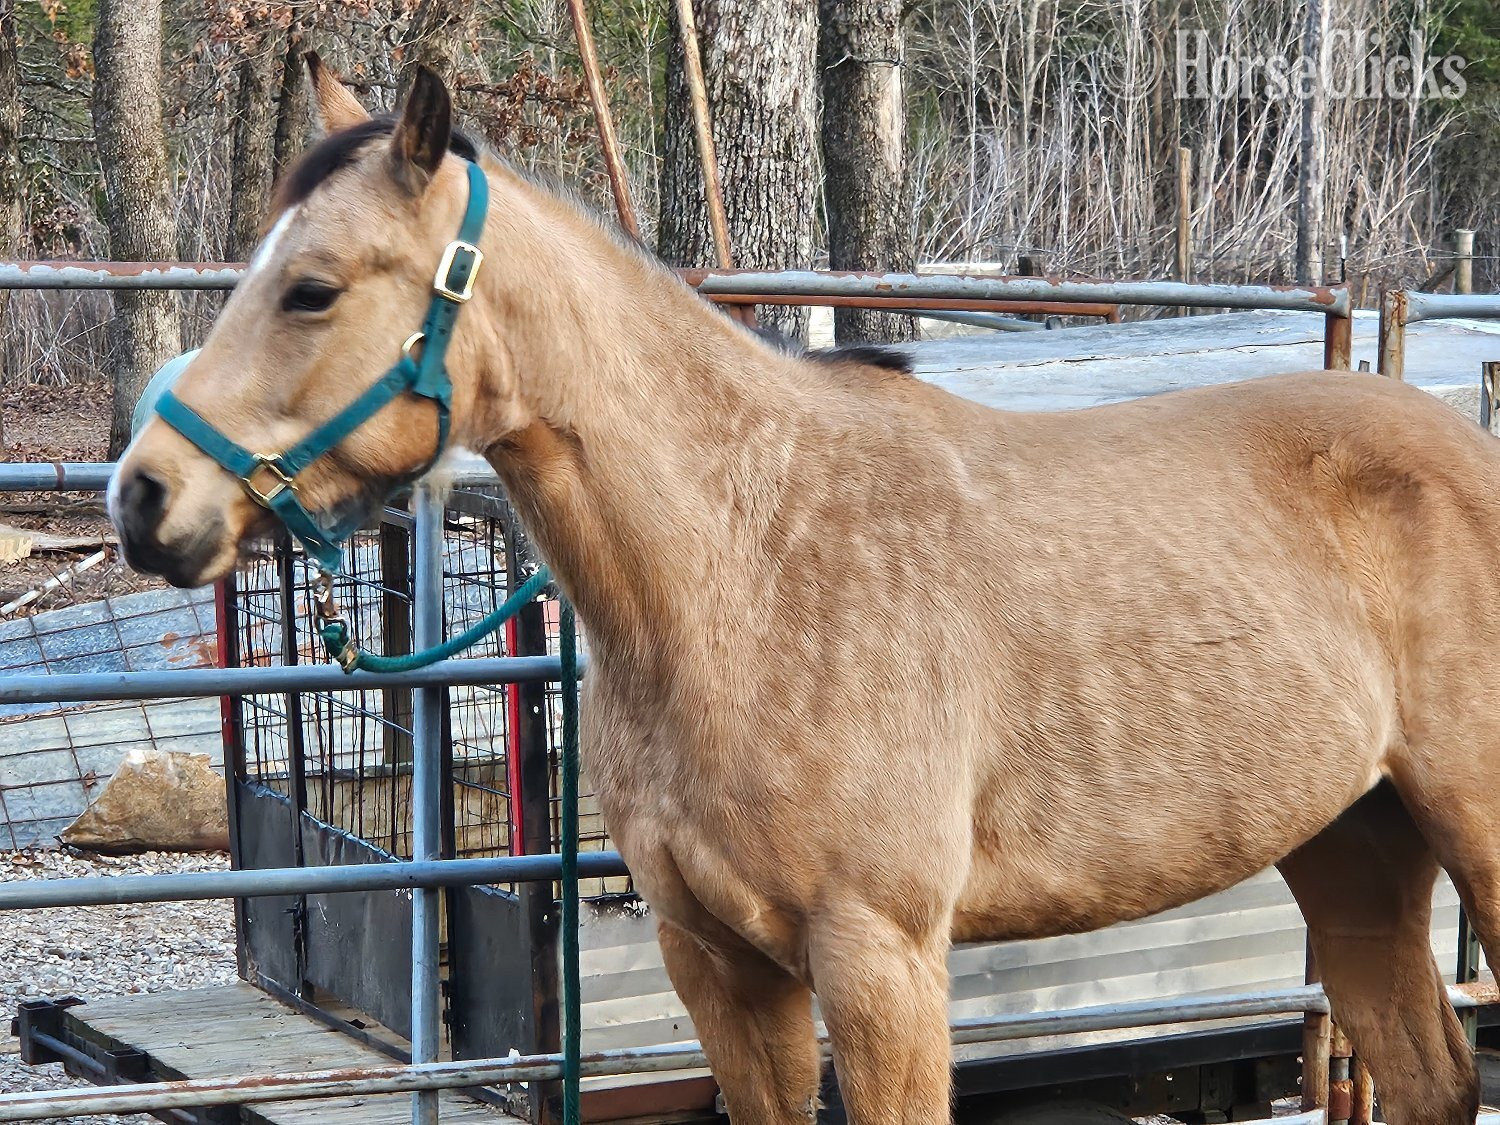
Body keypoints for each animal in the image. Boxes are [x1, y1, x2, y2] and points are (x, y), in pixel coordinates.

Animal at [110, 59, 1498, 1125]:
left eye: (313, 288)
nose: (143, 498)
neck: (748, 564)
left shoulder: (880, 962)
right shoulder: (720, 966)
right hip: (1355, 847)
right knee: (1430, 1075)